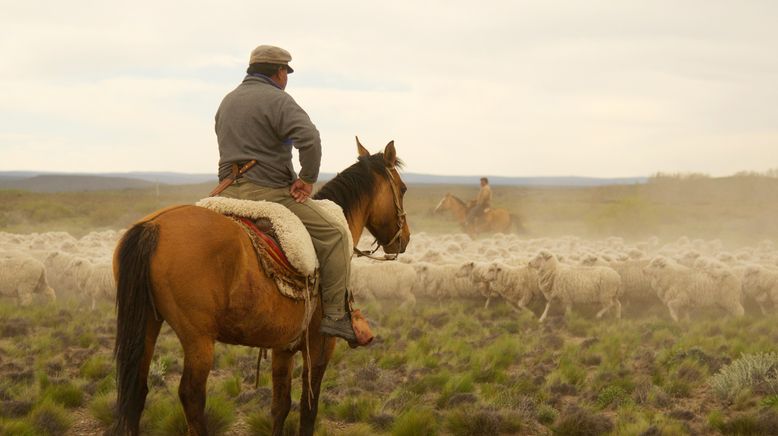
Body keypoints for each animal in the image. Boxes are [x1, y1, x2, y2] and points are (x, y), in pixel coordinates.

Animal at [113, 141, 412, 436]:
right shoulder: (320, 346)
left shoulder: (283, 348)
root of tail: (153, 226)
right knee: (191, 397)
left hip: (148, 323)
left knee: (136, 391)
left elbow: (280, 406)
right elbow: (308, 410)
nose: (405, 238)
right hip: (198, 338)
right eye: (403, 189)